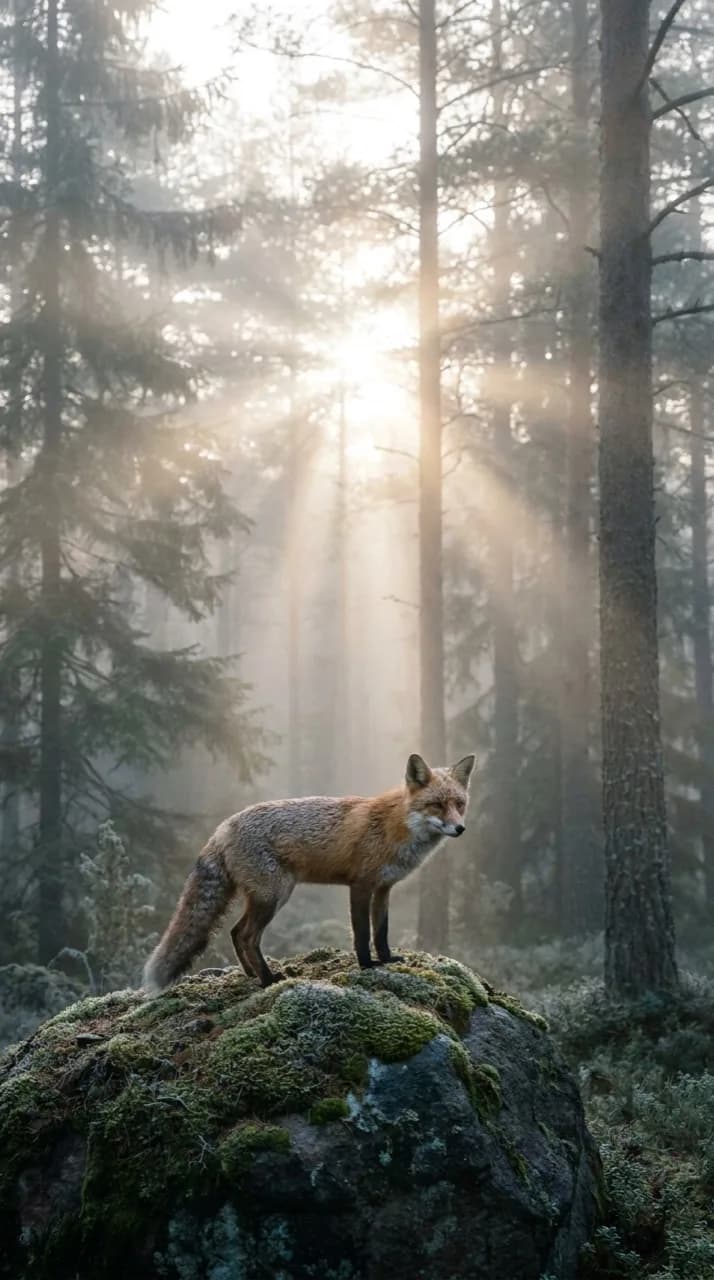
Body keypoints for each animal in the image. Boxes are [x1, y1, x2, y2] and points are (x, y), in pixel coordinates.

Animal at [142, 751, 475, 993]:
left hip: (265, 897)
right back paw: (268, 980)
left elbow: (381, 931)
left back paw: (251, 974)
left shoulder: (384, 888)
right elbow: (361, 932)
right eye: (436, 805)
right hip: (274, 896)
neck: (396, 828)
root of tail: (222, 827)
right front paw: (367, 965)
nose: (460, 829)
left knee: (235, 932)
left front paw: (387, 959)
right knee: (247, 936)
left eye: (459, 804)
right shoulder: (360, 885)